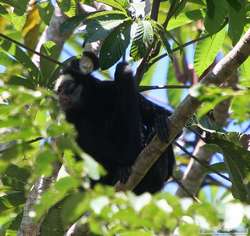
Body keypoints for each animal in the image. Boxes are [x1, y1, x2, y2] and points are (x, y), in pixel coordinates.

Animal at [55, 52, 175, 195]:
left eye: (66, 88)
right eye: (59, 91)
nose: (61, 96)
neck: (90, 105)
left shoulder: (108, 88)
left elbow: (168, 117)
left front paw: (159, 122)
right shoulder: (71, 118)